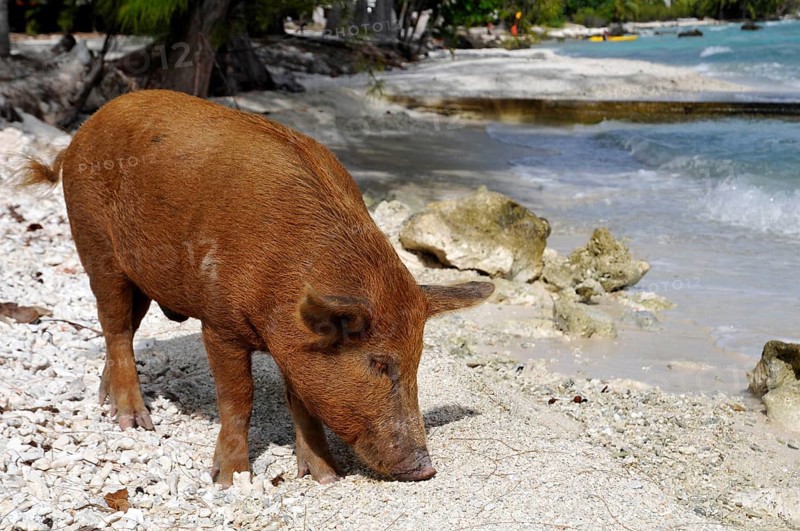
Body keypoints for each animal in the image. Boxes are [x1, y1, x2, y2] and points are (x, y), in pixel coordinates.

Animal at [23, 89, 494, 485]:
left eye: (417, 362)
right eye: (379, 362)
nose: (426, 469)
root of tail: (77, 137)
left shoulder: (297, 344)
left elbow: (302, 402)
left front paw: (326, 478)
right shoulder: (219, 324)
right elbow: (238, 397)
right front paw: (232, 479)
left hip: (140, 276)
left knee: (120, 331)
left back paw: (107, 400)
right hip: (96, 247)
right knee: (116, 327)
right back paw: (134, 421)